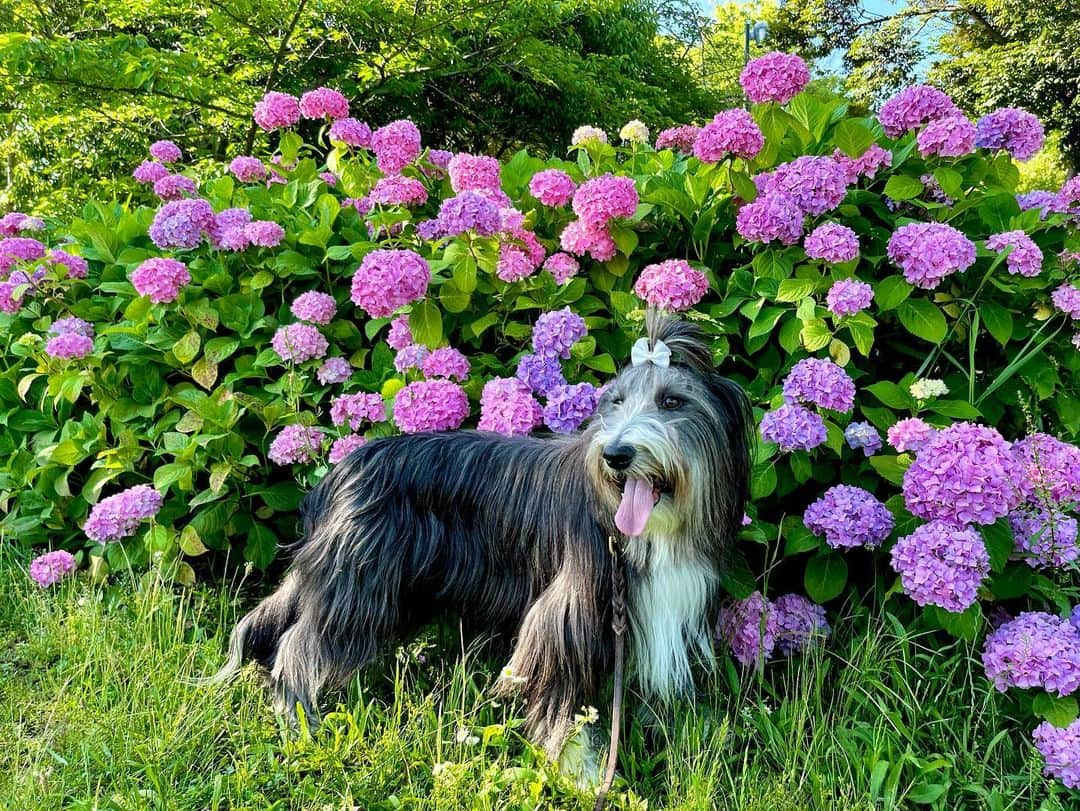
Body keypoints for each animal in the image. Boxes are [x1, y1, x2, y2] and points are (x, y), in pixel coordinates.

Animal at [210, 313, 751, 777]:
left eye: (673, 402)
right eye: (615, 403)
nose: (616, 455)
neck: (650, 533)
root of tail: (339, 473)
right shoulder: (567, 612)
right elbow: (564, 700)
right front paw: (582, 772)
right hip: (357, 581)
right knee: (299, 644)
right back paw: (300, 722)